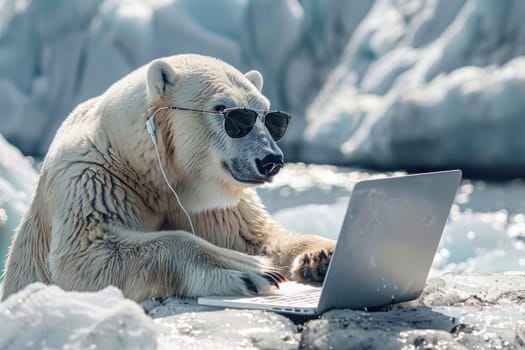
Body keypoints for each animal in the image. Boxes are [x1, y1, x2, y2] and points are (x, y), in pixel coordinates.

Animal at [2, 54, 334, 300]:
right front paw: (251, 268)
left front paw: (321, 256)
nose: (271, 160)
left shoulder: (212, 204)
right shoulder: (92, 177)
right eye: (227, 112)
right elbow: (87, 254)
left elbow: (255, 235)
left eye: (270, 117)